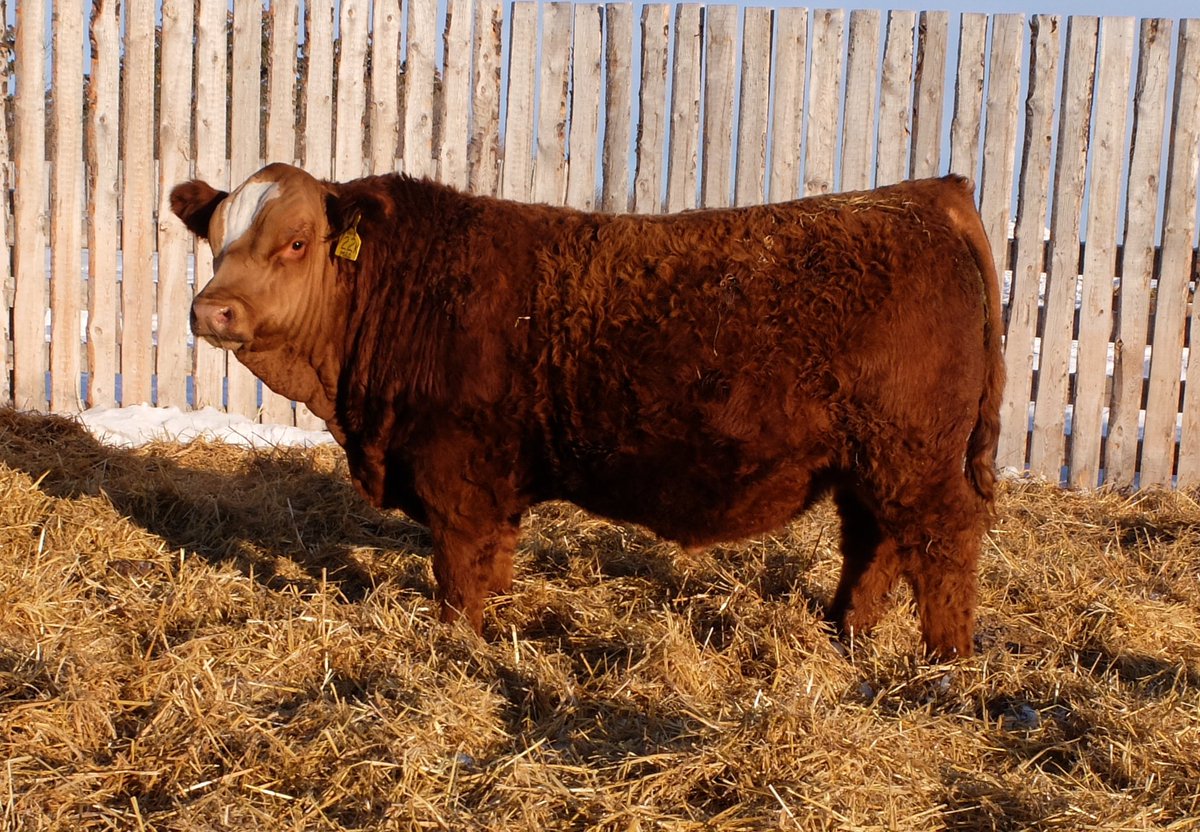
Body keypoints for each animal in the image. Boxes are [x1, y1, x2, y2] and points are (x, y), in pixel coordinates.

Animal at [171, 163, 1003, 659]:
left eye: (296, 242)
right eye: (213, 241)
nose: (212, 310)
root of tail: (927, 193)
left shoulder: (455, 477)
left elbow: (457, 578)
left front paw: (456, 648)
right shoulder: (495, 484)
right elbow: (493, 563)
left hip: (913, 455)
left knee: (944, 543)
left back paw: (943, 664)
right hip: (874, 462)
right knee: (875, 544)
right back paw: (845, 634)